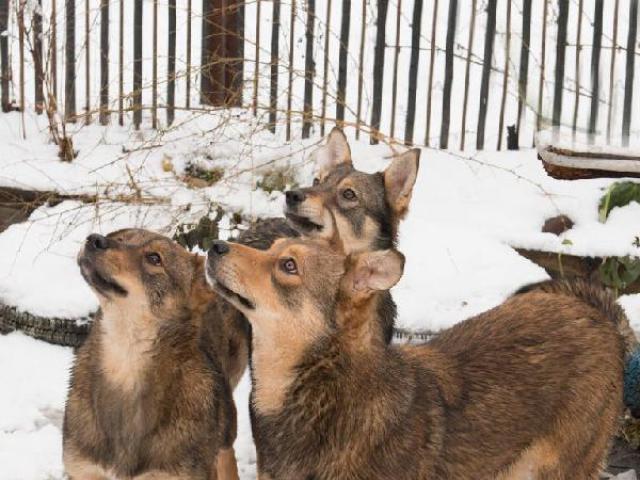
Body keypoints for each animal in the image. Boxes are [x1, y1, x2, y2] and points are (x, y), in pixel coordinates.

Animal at [63, 229, 246, 480]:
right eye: (120, 239)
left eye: (154, 258)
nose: (94, 239)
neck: (126, 365)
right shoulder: (83, 469)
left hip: (226, 435)